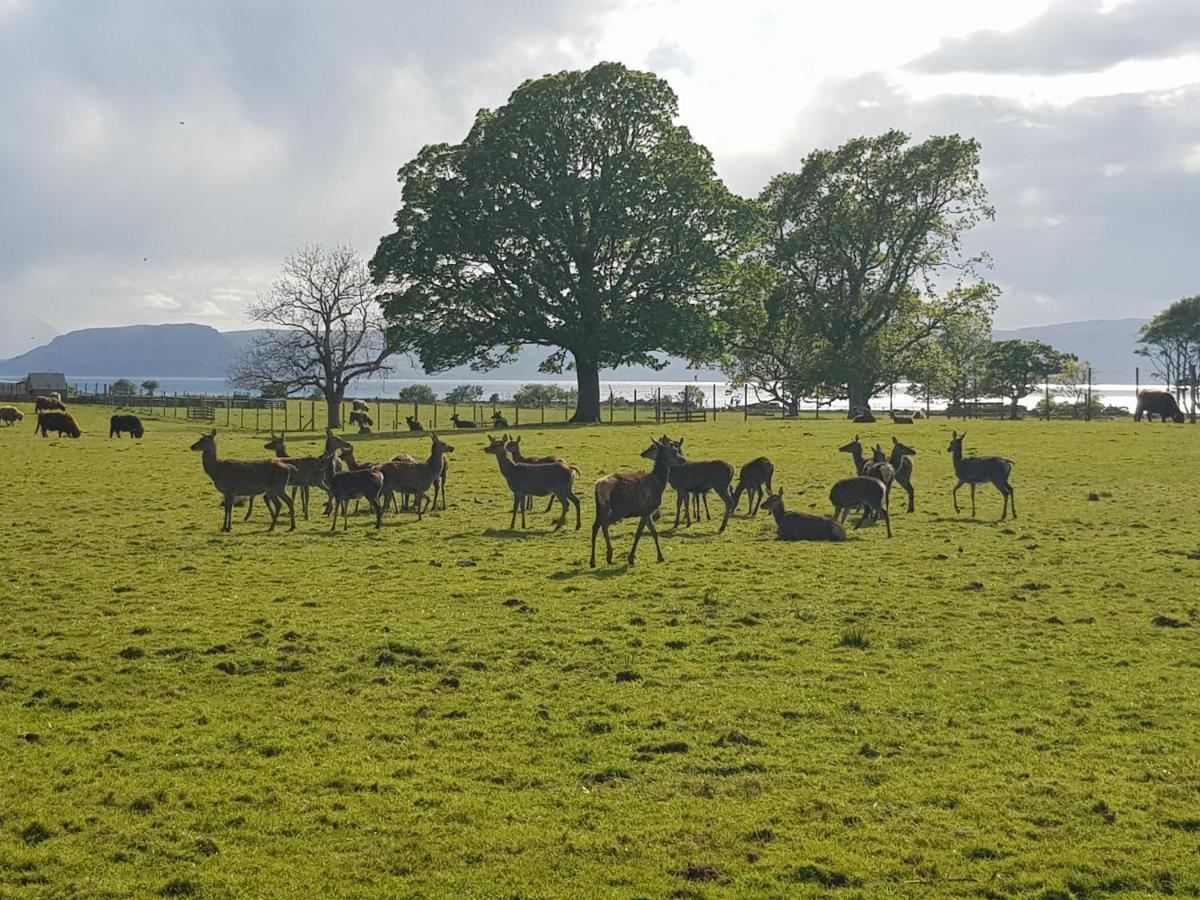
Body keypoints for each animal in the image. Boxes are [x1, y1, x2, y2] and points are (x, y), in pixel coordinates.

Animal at [588, 434, 686, 566]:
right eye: (673, 451)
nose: (683, 460)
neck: (659, 483)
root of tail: (599, 485)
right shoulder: (647, 509)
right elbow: (639, 533)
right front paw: (631, 558)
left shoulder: (647, 512)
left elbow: (654, 532)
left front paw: (659, 556)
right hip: (620, 509)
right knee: (605, 524)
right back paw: (609, 555)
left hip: (601, 507)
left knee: (595, 526)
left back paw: (592, 561)